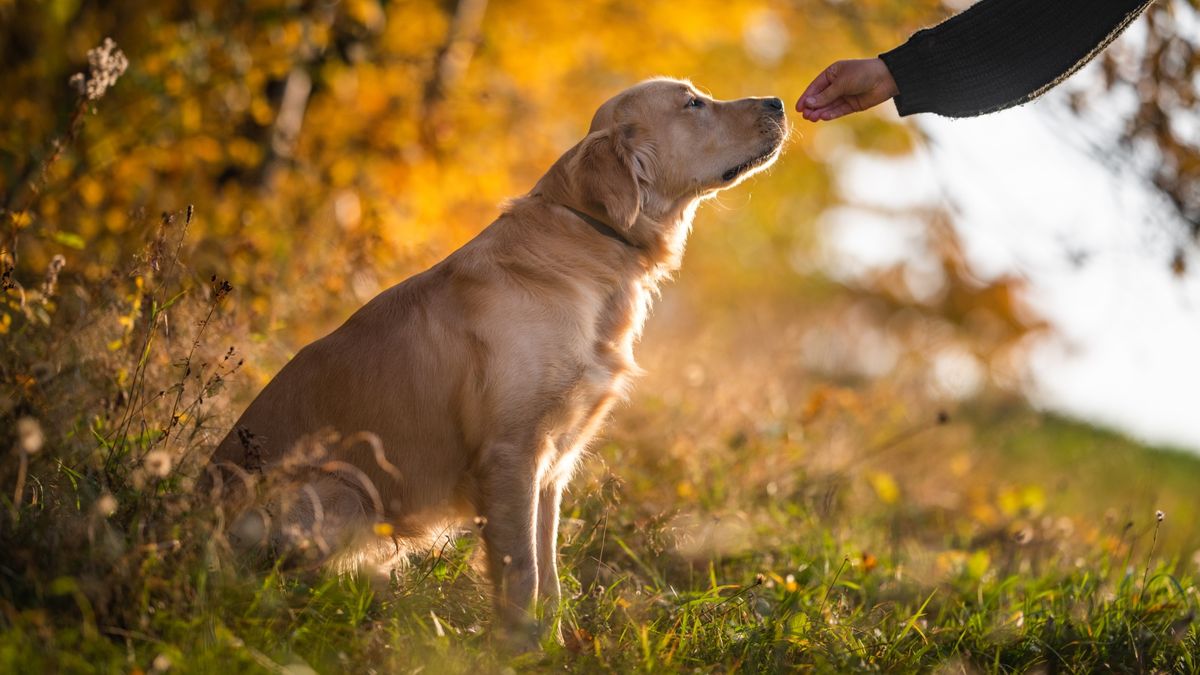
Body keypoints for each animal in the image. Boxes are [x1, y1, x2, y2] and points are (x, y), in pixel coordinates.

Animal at [204, 76, 787, 638]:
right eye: (693, 104)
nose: (780, 102)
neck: (589, 245)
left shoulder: (552, 466)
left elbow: (549, 572)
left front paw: (553, 645)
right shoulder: (511, 453)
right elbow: (522, 570)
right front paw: (517, 648)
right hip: (343, 492)